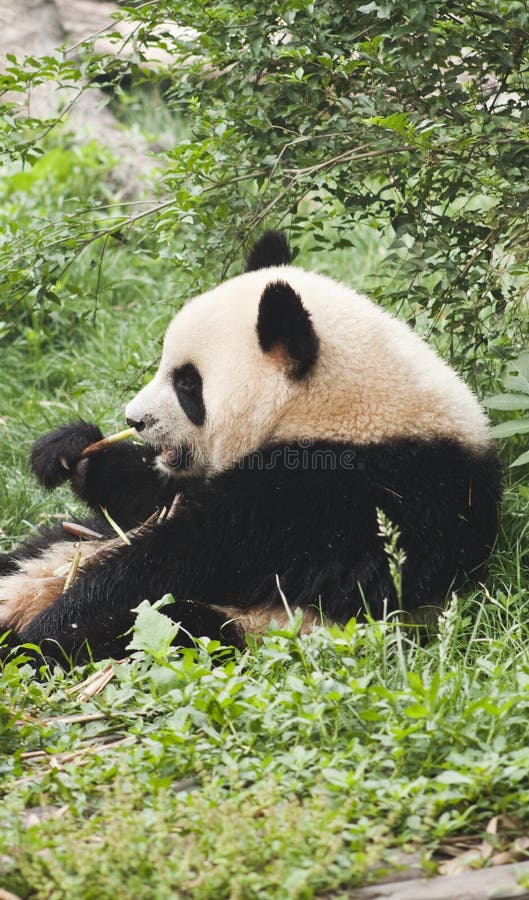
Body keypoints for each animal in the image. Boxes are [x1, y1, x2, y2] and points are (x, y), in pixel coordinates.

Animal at [0, 231, 501, 666]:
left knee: (154, 622)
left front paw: (60, 620)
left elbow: (197, 554)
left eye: (188, 384)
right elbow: (158, 497)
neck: (336, 407)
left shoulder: (348, 493)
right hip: (61, 545)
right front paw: (71, 452)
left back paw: (34, 640)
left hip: (256, 626)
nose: (134, 420)